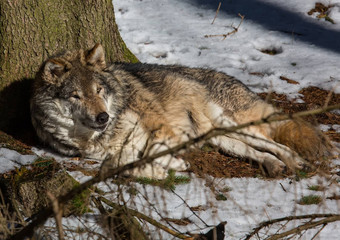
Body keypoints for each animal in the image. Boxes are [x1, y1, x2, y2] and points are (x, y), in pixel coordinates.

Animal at [30, 43, 330, 178]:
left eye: (99, 90)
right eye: (76, 96)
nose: (102, 117)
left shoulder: (164, 131)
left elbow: (145, 157)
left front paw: (171, 165)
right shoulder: (112, 153)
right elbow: (116, 165)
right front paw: (166, 168)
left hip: (230, 124)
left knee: (274, 142)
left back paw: (295, 161)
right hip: (220, 138)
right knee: (256, 151)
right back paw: (274, 165)